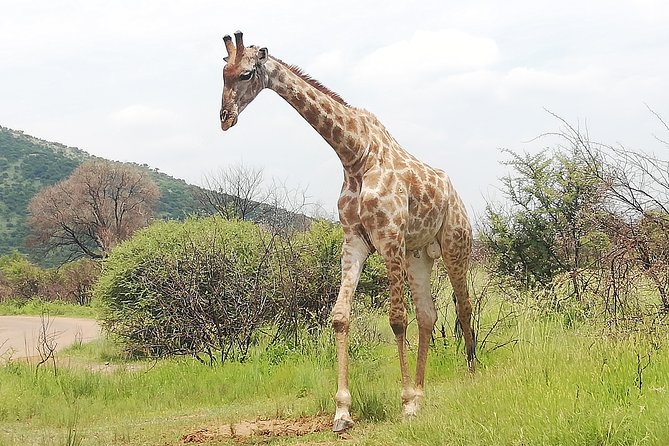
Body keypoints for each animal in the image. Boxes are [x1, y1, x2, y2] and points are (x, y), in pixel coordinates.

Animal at [219, 31, 474, 432]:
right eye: (222, 73)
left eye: (246, 73)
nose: (225, 118)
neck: (354, 153)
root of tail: (456, 194)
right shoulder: (354, 240)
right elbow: (340, 317)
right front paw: (342, 412)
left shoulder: (389, 238)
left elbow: (396, 319)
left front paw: (403, 403)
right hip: (417, 254)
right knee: (429, 316)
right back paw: (422, 395)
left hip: (454, 244)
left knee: (463, 306)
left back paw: (470, 379)